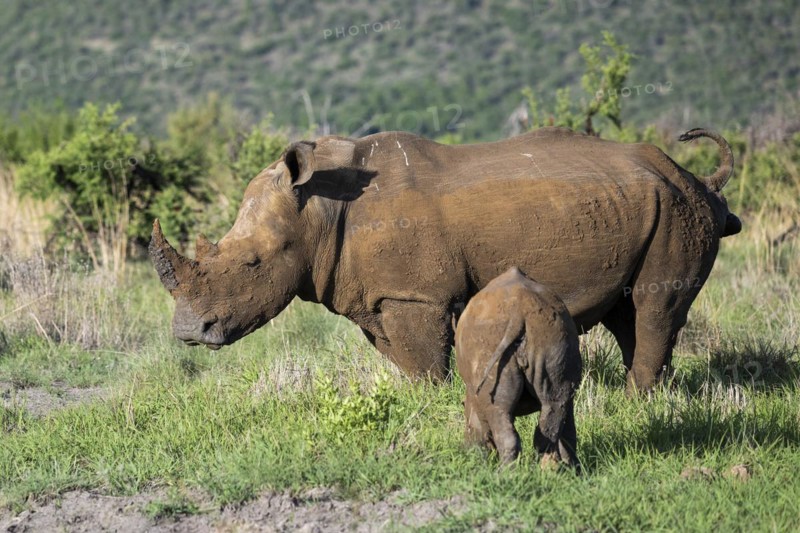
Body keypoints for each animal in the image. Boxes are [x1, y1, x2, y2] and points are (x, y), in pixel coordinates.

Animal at [150, 126, 740, 392]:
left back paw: (641, 398)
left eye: (251, 264)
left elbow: (428, 361)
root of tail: (696, 178)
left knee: (655, 306)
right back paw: (650, 393)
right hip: (647, 204)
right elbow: (407, 361)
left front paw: (437, 404)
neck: (318, 207)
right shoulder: (379, 296)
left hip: (677, 208)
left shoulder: (416, 295)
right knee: (628, 312)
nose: (187, 332)